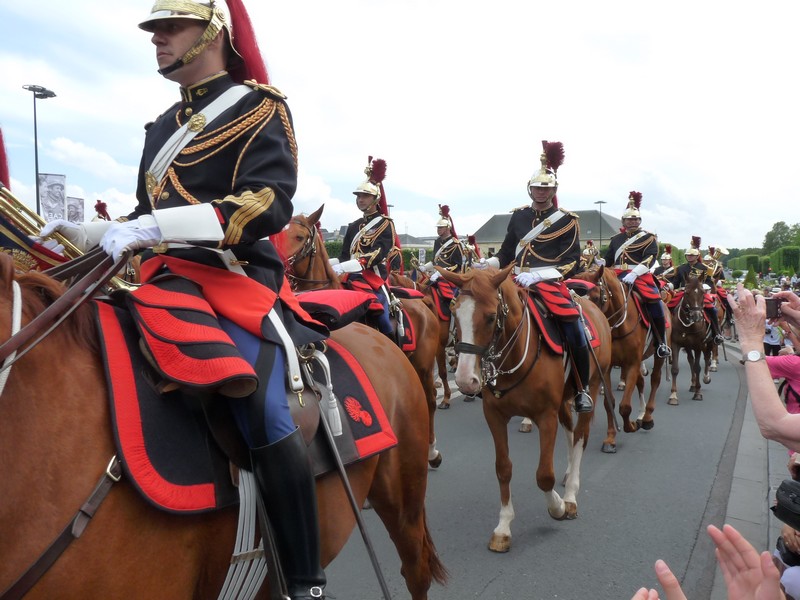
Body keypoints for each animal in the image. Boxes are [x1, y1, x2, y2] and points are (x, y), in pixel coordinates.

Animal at [434, 268, 608, 552]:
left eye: (491, 317)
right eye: (454, 312)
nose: (465, 381)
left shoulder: (546, 417)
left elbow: (544, 475)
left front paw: (558, 507)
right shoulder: (494, 417)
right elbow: (503, 468)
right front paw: (503, 527)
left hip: (590, 389)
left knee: (581, 436)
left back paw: (571, 495)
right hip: (564, 400)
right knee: (570, 432)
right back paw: (568, 473)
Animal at [572, 264, 672, 452]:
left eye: (595, 297)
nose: (585, 332)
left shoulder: (632, 364)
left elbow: (624, 406)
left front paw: (630, 426)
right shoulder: (607, 368)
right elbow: (609, 403)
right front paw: (611, 438)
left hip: (658, 354)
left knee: (655, 379)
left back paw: (647, 417)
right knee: (641, 382)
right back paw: (641, 414)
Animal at [668, 276, 712, 404]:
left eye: (702, 292)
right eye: (686, 293)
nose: (696, 316)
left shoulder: (698, 345)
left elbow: (698, 367)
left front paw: (698, 393)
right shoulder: (675, 344)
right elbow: (675, 369)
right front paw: (673, 395)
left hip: (709, 342)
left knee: (707, 358)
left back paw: (706, 378)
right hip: (688, 346)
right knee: (691, 360)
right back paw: (693, 384)